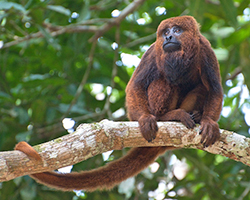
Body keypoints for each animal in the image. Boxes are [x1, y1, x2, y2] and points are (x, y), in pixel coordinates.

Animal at [14, 15, 224, 191]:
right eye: (165, 32)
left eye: (177, 30)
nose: (169, 37)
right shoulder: (153, 51)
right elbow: (135, 86)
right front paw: (145, 119)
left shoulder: (206, 49)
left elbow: (215, 89)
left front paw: (208, 123)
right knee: (163, 81)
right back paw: (168, 116)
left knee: (202, 87)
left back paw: (194, 115)